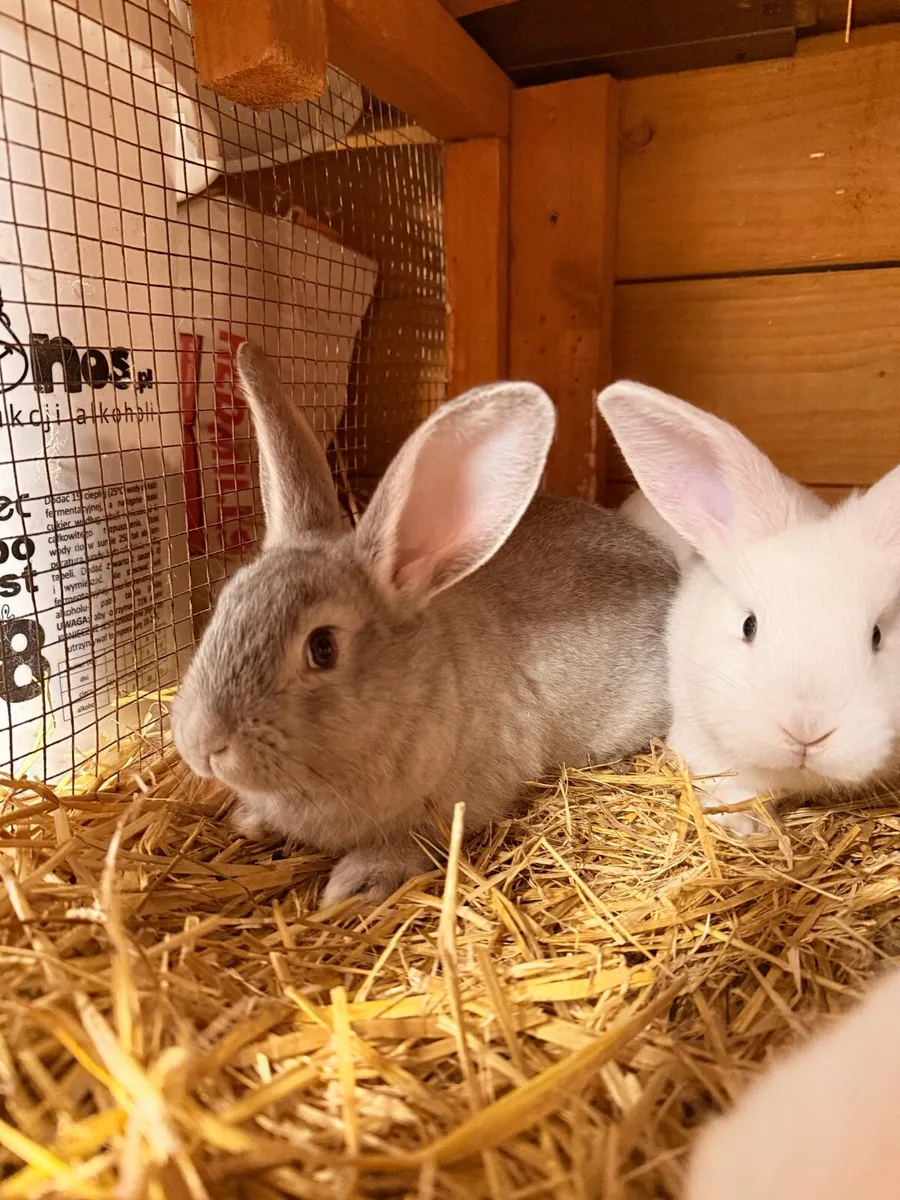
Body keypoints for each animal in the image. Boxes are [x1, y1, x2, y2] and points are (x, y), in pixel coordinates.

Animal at [172, 344, 678, 908]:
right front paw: (249, 821)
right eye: (225, 601)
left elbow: (413, 841)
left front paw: (355, 884)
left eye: (323, 647)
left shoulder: (458, 802)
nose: (201, 743)